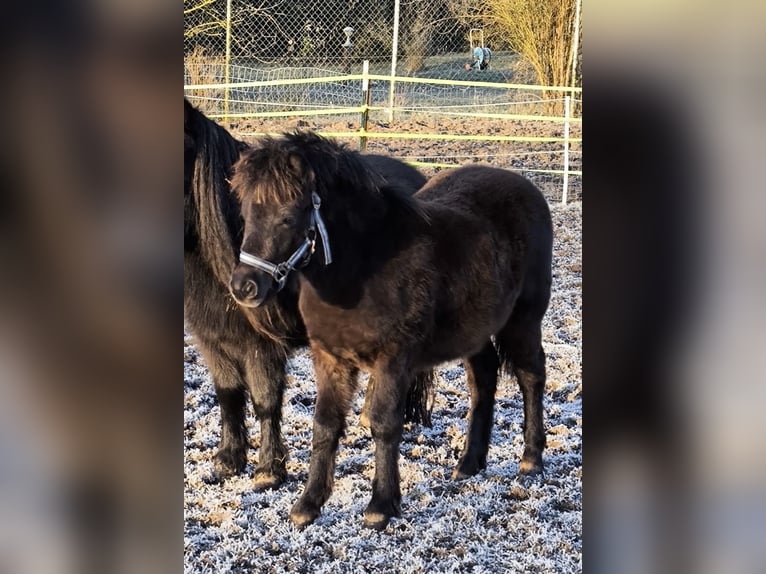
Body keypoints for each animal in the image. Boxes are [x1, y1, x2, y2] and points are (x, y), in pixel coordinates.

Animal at [184, 99, 428, 490]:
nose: (244, 288)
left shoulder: (261, 346)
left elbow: (265, 402)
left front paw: (268, 470)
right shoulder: (213, 341)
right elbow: (228, 395)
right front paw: (228, 460)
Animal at [231, 132, 556, 532]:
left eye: (288, 217)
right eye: (246, 214)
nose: (244, 286)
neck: (362, 268)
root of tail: (527, 188)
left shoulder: (393, 359)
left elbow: (385, 425)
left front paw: (381, 506)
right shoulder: (329, 358)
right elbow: (325, 425)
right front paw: (307, 505)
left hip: (524, 319)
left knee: (531, 377)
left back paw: (531, 460)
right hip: (476, 331)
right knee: (483, 382)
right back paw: (468, 464)